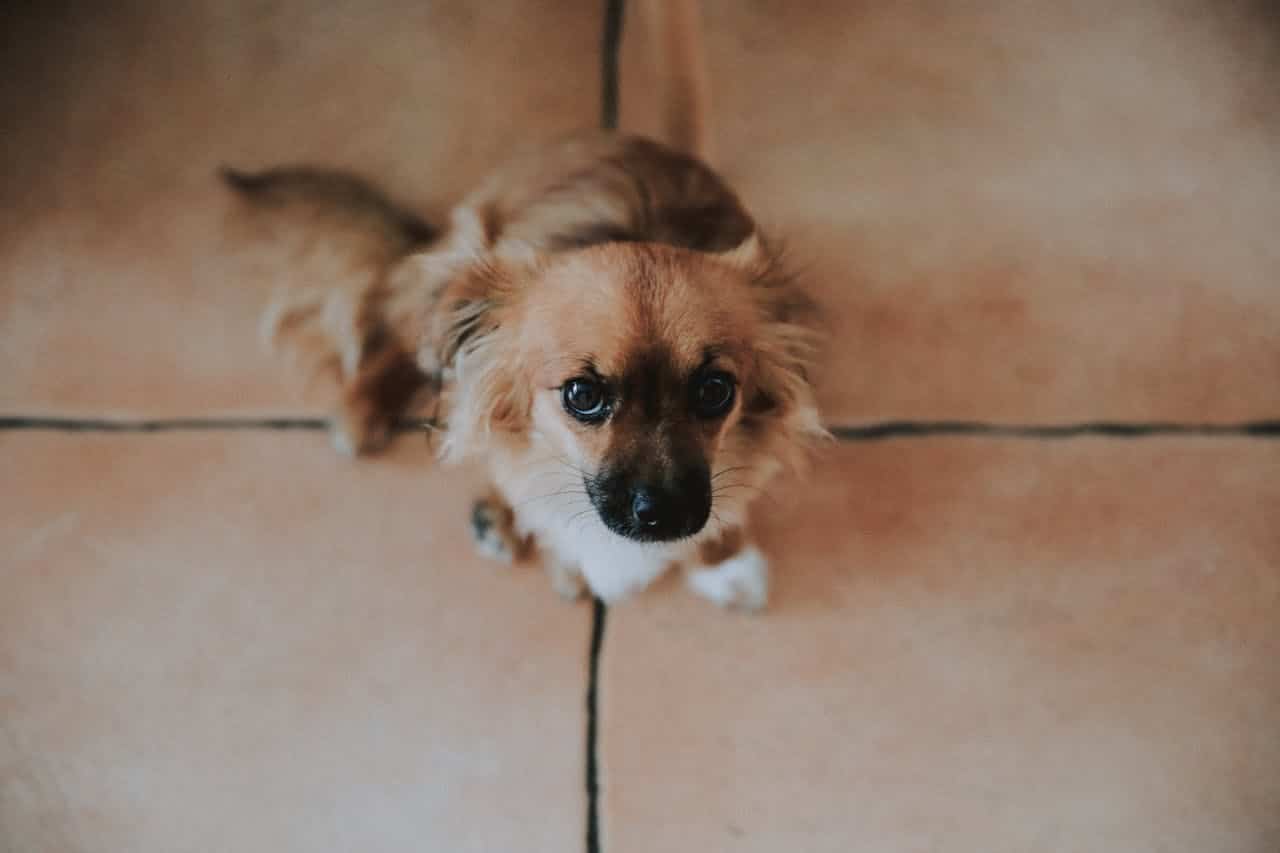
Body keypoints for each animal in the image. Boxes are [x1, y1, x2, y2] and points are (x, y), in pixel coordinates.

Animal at [220, 1, 824, 612]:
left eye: (715, 391)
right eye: (582, 396)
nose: (665, 514)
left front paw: (724, 558)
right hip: (461, 259)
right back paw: (366, 409)